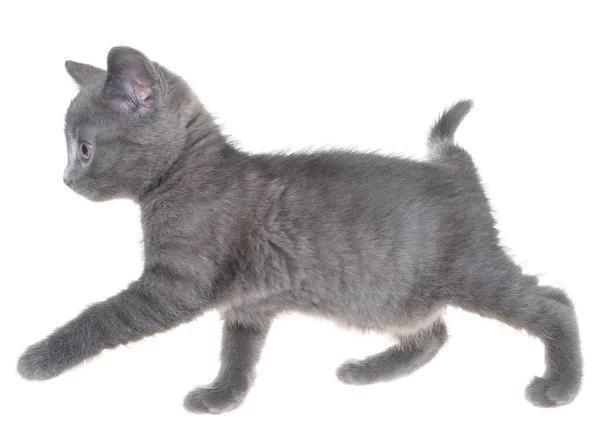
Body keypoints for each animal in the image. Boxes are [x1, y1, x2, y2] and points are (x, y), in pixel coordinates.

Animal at [17, 46, 580, 412]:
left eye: (83, 149)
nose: (66, 179)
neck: (185, 177)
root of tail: (456, 172)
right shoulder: (249, 304)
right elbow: (238, 353)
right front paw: (223, 396)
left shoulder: (175, 285)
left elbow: (103, 317)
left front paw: (39, 359)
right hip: (395, 298)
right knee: (434, 332)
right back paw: (368, 370)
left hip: (468, 270)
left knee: (554, 302)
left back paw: (561, 387)